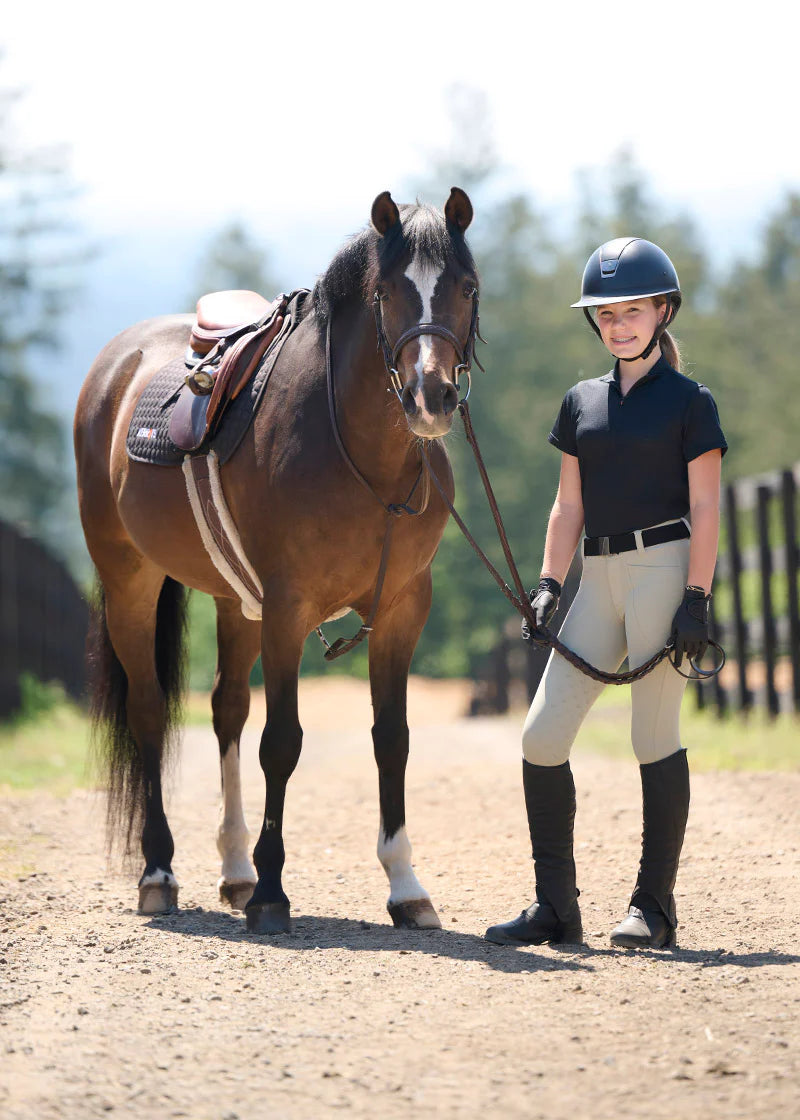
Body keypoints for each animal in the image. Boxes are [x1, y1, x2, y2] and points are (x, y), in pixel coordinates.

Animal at [74, 187, 479, 933]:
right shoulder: (289, 611)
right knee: (149, 712)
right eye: (386, 292)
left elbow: (392, 738)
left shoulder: (402, 610)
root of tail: (116, 365)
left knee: (226, 709)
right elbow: (282, 742)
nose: (430, 397)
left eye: (465, 287)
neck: (360, 455)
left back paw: (233, 869)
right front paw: (271, 891)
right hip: (130, 583)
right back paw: (160, 872)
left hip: (236, 602)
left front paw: (405, 887)